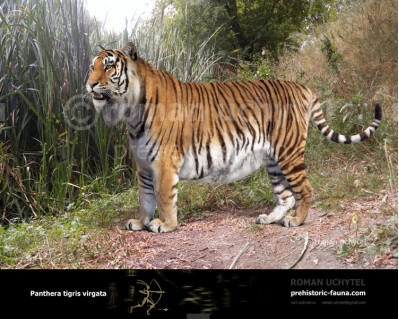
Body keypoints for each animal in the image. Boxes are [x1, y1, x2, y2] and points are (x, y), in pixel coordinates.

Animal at [86, 42, 382, 232]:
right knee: (285, 195)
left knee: (304, 189)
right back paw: (269, 219)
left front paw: (165, 225)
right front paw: (140, 223)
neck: (130, 113)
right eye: (91, 67)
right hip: (273, 159)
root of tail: (302, 86)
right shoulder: (144, 165)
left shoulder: (164, 162)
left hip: (288, 151)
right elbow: (145, 198)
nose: (89, 84)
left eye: (109, 66)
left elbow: (163, 197)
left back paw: (297, 221)